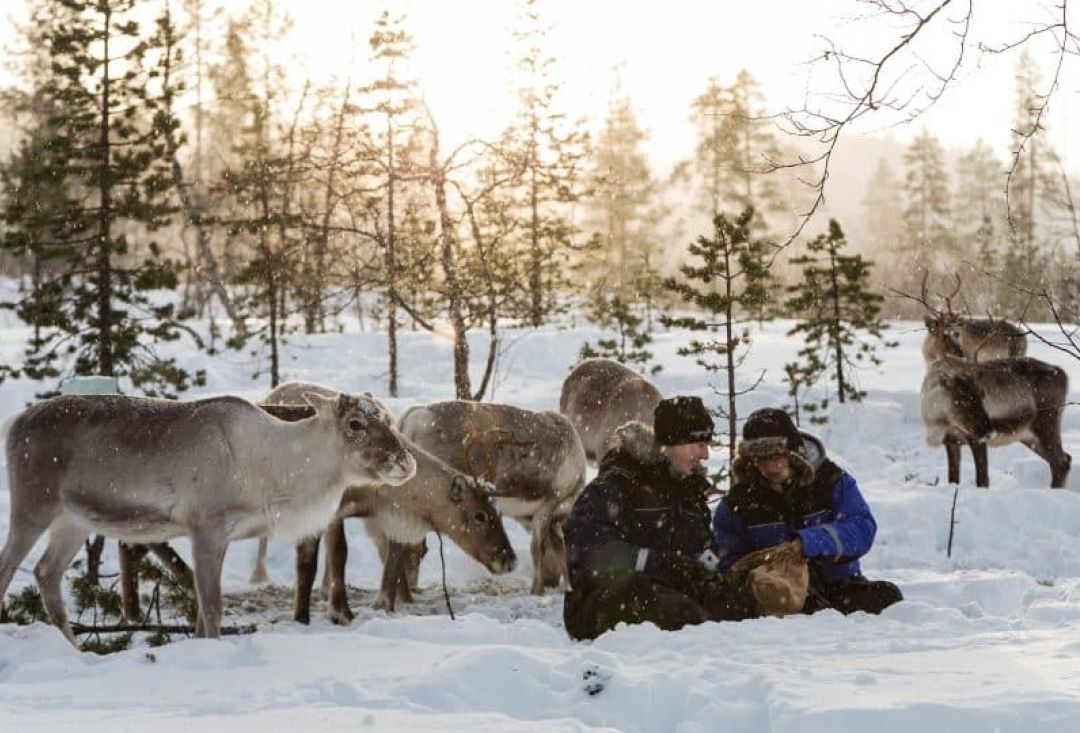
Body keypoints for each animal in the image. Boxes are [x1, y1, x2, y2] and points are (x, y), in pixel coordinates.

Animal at [0, 392, 417, 646]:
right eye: (355, 423)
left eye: (388, 418)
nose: (406, 462)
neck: (276, 472)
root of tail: (13, 423)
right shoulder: (206, 528)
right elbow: (212, 607)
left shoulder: (225, 536)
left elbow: (201, 612)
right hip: (33, 504)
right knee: (9, 568)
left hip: (73, 520)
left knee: (45, 571)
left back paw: (74, 647)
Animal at [260, 382, 515, 621]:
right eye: (479, 515)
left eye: (498, 512)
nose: (510, 560)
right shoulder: (331, 512)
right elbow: (332, 557)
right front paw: (335, 612)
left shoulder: (385, 515)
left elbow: (390, 556)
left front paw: (388, 604)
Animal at [398, 400, 588, 595]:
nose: (552, 583)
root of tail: (413, 418)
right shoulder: (550, 502)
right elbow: (538, 547)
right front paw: (538, 590)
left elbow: (559, 547)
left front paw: (566, 587)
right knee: (414, 547)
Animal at [920, 317, 1070, 488]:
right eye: (961, 399)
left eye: (982, 394)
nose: (990, 432)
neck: (939, 420)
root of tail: (1063, 374)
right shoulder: (951, 441)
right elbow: (953, 479)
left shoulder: (976, 439)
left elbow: (982, 480)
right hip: (1027, 434)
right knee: (1064, 459)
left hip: (1047, 422)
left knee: (1061, 462)